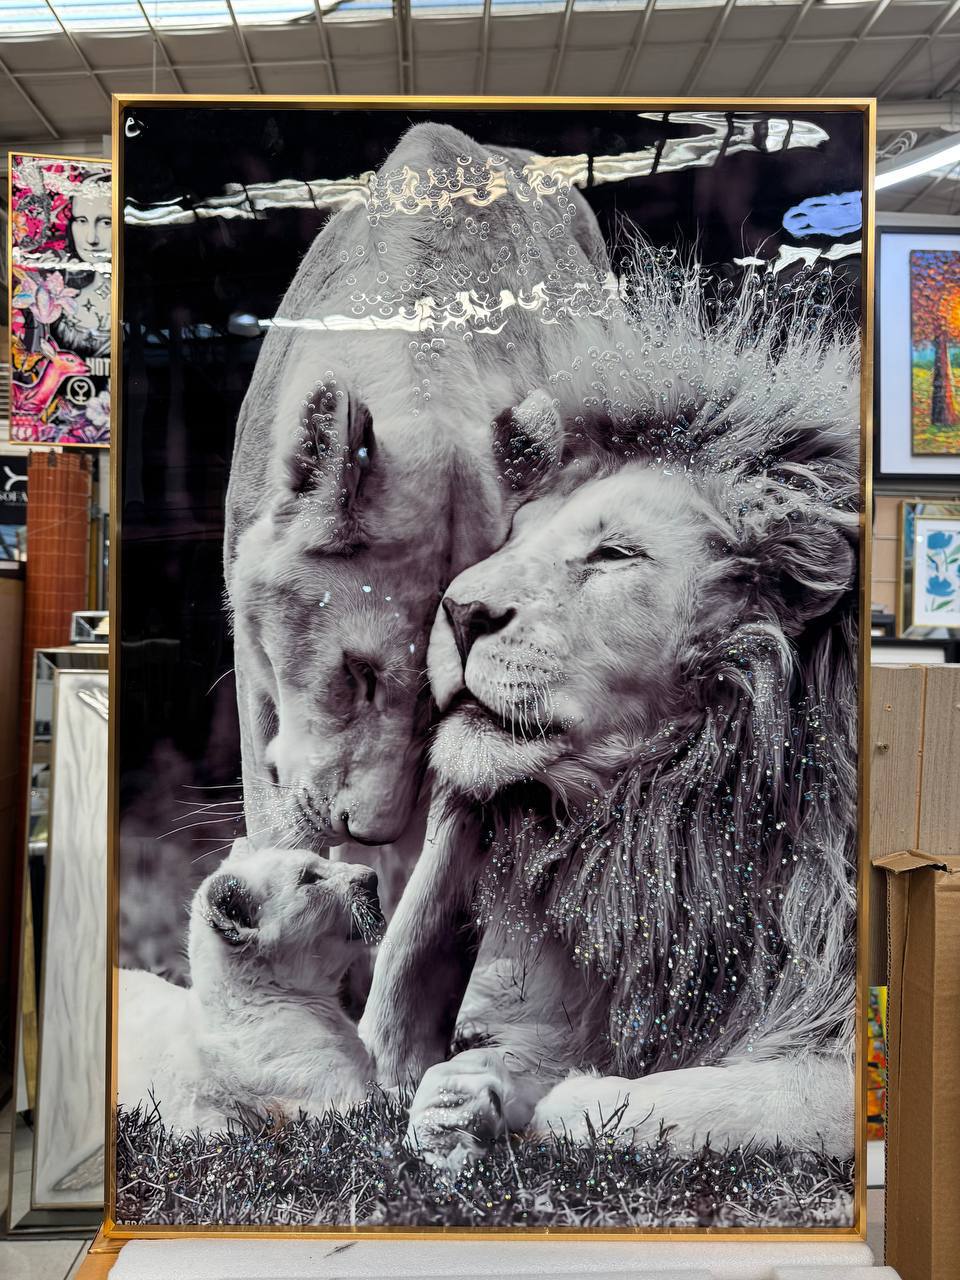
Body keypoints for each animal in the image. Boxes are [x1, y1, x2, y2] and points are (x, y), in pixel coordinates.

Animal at [361, 261, 861, 1171]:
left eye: (614, 554)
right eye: (515, 534)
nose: (459, 611)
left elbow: (716, 1098)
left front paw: (564, 1103)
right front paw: (462, 1099)